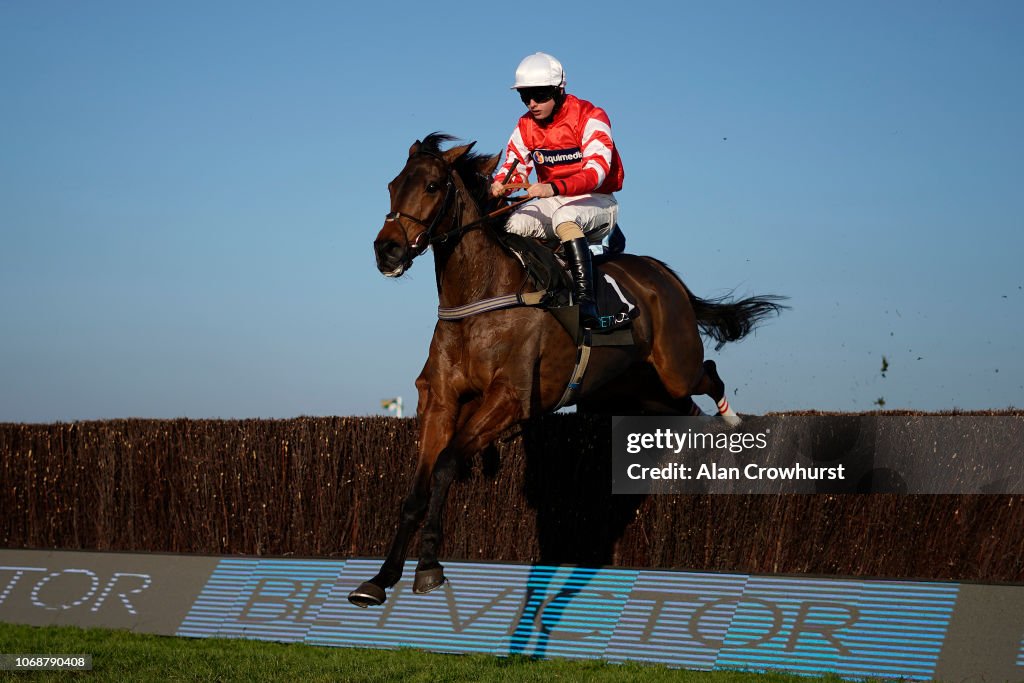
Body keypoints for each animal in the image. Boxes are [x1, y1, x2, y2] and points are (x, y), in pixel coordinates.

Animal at [348, 133, 786, 610]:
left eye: (431, 186)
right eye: (392, 186)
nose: (386, 249)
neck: (480, 296)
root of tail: (661, 273)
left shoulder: (509, 399)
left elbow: (446, 465)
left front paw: (428, 565)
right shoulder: (441, 401)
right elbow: (417, 490)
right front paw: (380, 578)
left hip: (675, 365)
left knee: (707, 372)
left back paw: (733, 423)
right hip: (637, 388)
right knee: (685, 407)